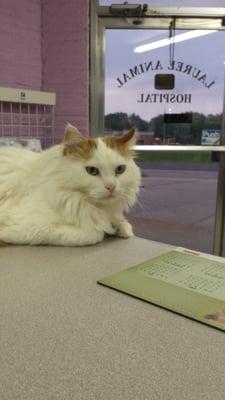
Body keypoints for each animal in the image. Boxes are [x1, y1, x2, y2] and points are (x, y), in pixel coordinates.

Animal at [0, 123, 141, 245]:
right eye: (92, 171)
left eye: (120, 169)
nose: (111, 187)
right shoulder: (29, 224)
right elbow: (95, 233)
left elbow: (121, 223)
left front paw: (121, 227)